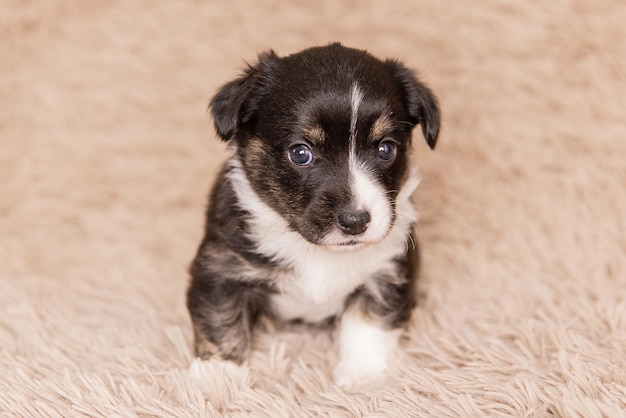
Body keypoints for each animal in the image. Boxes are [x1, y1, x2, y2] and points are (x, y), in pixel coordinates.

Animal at [185, 43, 438, 388]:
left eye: (386, 149)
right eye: (300, 153)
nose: (356, 222)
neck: (316, 251)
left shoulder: (387, 270)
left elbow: (370, 321)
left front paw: (363, 375)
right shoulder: (220, 267)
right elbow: (221, 320)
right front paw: (216, 379)